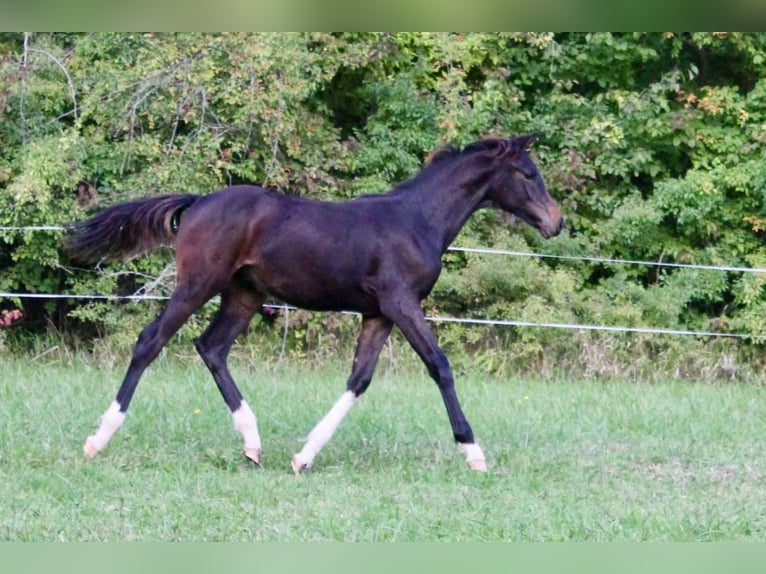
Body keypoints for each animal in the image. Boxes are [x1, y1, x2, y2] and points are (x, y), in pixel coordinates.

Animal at [64, 134, 563, 473]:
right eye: (528, 174)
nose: (555, 223)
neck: (417, 220)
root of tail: (199, 200)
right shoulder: (402, 303)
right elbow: (439, 365)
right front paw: (472, 451)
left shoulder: (379, 312)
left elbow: (359, 379)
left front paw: (303, 456)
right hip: (198, 282)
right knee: (151, 340)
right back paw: (97, 439)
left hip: (244, 293)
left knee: (212, 347)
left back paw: (252, 443)